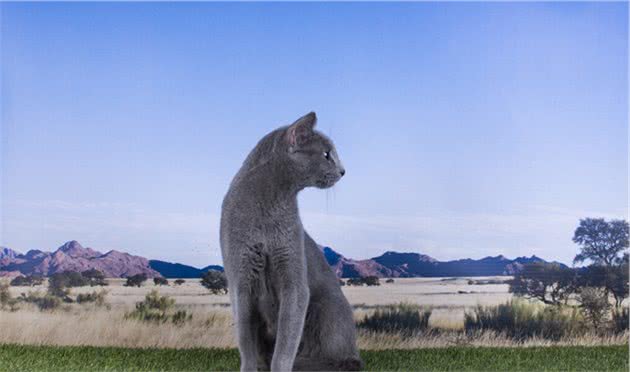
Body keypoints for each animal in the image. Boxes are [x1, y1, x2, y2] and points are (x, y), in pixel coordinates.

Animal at [222, 113, 362, 372]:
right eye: (326, 154)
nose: (343, 171)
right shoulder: (241, 277)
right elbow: (245, 338)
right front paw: (250, 367)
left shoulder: (293, 276)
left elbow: (287, 339)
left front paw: (279, 366)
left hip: (326, 306)